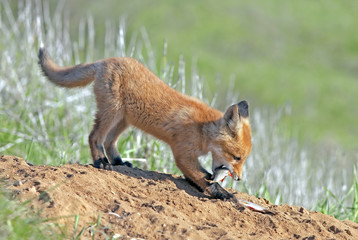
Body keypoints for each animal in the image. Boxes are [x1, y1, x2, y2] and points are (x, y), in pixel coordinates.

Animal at [38, 47, 252, 202]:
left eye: (242, 159)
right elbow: (202, 176)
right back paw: (101, 161)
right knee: (94, 137)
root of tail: (108, 60)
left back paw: (118, 161)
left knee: (109, 141)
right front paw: (222, 193)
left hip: (124, 120)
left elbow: (198, 175)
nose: (239, 179)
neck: (202, 131)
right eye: (236, 157)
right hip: (112, 112)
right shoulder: (182, 153)